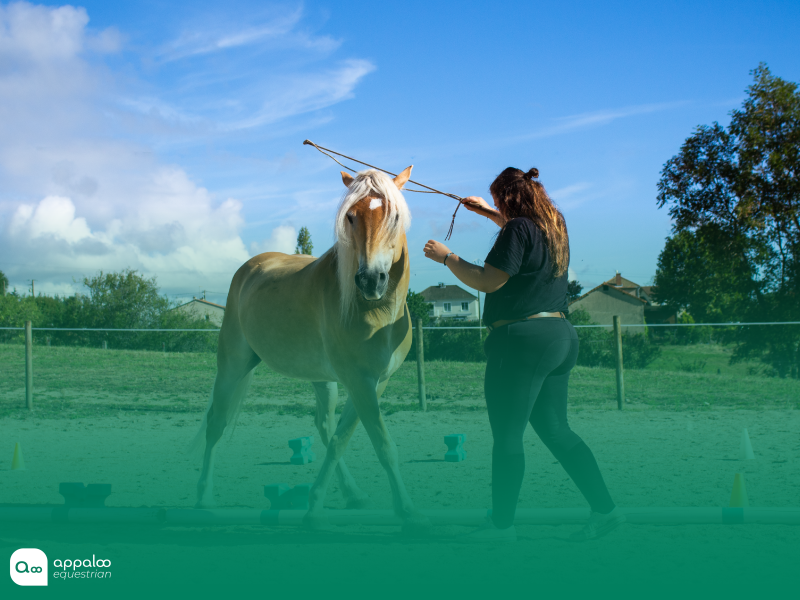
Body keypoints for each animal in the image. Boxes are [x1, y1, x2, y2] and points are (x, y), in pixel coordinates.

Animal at [193, 166, 431, 533]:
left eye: (394, 216)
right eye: (350, 216)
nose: (370, 280)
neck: (376, 313)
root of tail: (251, 267)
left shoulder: (374, 383)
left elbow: (340, 440)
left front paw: (315, 507)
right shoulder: (361, 383)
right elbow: (382, 444)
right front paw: (407, 511)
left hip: (324, 380)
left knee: (324, 426)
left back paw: (352, 494)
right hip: (232, 365)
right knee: (216, 423)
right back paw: (203, 500)